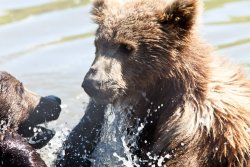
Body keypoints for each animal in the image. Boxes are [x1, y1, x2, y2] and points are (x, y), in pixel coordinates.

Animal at [57, 0, 250, 166]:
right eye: (97, 44)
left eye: (127, 47)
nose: (92, 83)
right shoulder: (103, 109)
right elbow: (77, 144)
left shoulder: (191, 130)